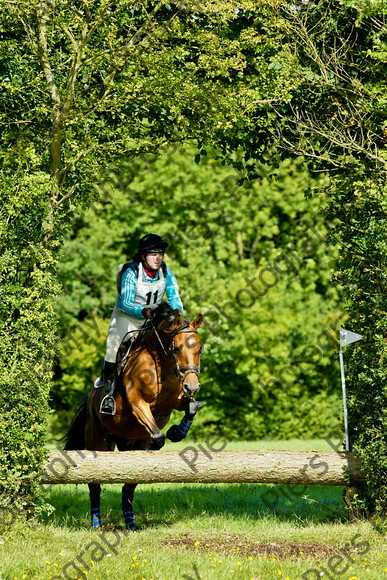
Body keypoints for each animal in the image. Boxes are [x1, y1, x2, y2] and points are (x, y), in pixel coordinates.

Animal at [63, 304, 203, 532]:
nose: (192, 386)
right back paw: (96, 523)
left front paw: (176, 432)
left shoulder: (175, 402)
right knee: (95, 485)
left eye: (199, 349)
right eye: (176, 349)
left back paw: (130, 522)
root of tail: (91, 398)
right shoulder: (138, 403)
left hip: (128, 441)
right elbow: (158, 437)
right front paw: (166, 437)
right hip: (98, 441)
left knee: (129, 487)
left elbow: (191, 407)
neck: (161, 365)